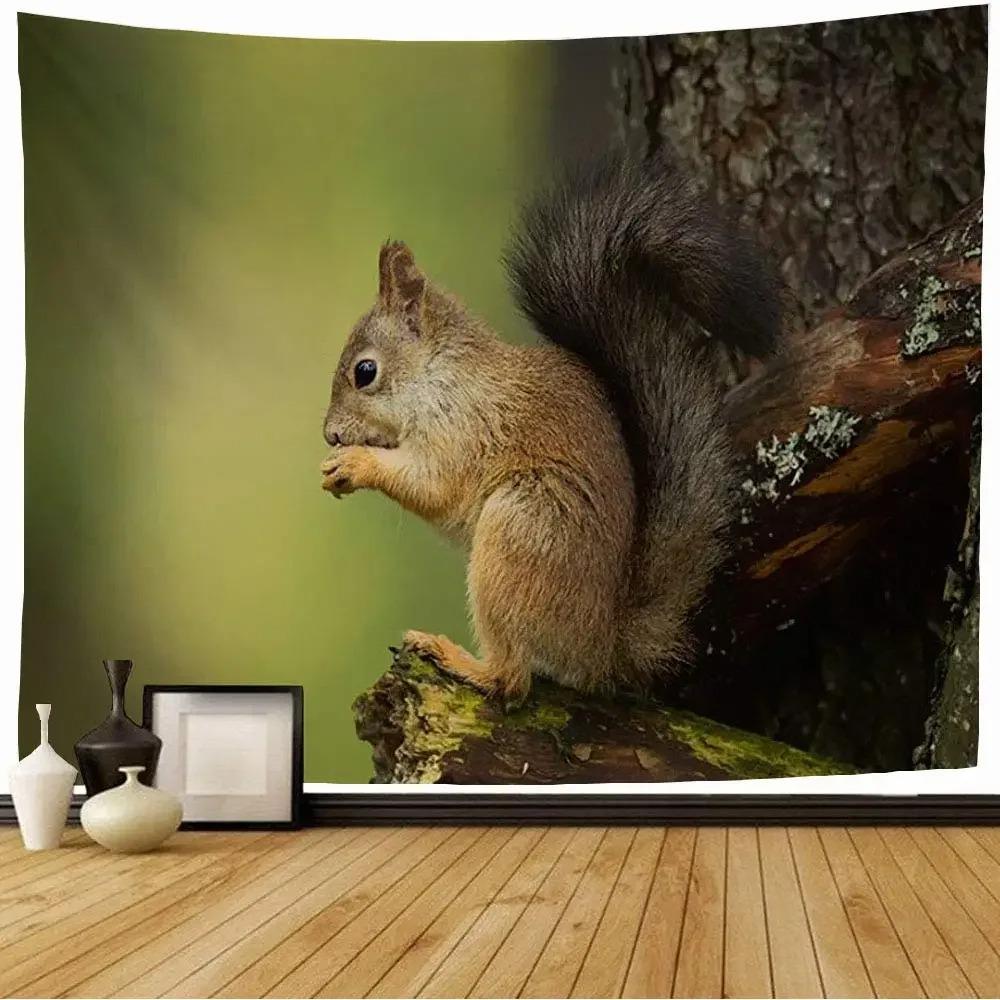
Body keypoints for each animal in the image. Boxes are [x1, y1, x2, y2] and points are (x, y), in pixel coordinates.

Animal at [320, 152, 780, 700]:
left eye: (365, 371)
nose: (330, 434)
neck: (439, 377)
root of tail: (604, 646)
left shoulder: (465, 431)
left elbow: (433, 485)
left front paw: (354, 464)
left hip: (523, 525)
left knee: (512, 679)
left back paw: (456, 658)